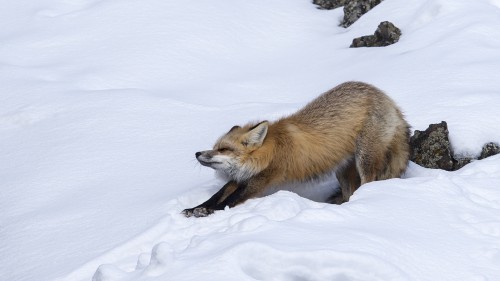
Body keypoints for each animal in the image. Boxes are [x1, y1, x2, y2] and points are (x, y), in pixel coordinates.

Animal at [184, 81, 410, 217]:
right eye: (215, 147)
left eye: (223, 149)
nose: (197, 153)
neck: (272, 149)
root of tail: (386, 97)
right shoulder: (243, 176)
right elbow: (217, 195)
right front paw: (196, 208)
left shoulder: (263, 178)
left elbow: (230, 199)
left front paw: (210, 213)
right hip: (342, 171)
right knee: (349, 191)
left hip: (365, 158)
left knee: (368, 181)